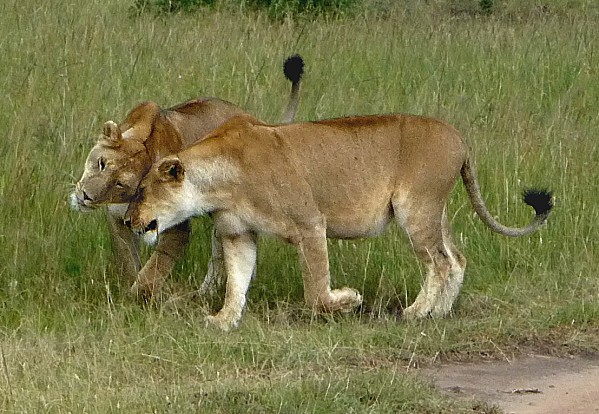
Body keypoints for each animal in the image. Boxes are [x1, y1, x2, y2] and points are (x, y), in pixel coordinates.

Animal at [70, 55, 304, 300]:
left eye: (120, 183)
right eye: (101, 163)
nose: (85, 197)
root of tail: (258, 122)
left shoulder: (176, 227)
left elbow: (155, 268)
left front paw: (138, 297)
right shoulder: (116, 218)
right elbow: (128, 261)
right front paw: (125, 291)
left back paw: (207, 292)